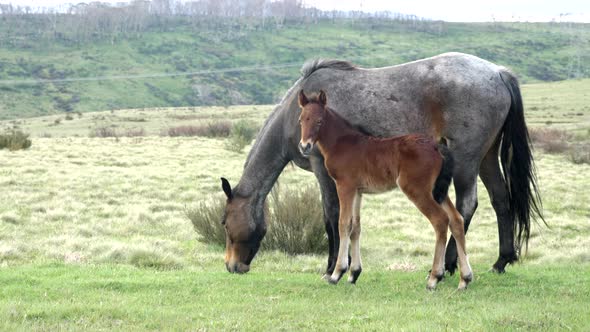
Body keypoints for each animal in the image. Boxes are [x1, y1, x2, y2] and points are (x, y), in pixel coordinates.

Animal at [298, 89, 474, 290]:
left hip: (417, 189)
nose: (304, 146)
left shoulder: (345, 186)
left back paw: (434, 278)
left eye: (319, 121)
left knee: (440, 220)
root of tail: (437, 146)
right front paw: (354, 274)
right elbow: (355, 226)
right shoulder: (358, 191)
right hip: (438, 191)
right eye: (301, 120)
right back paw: (465, 278)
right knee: (456, 220)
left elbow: (343, 224)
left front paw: (337, 273)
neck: (342, 143)